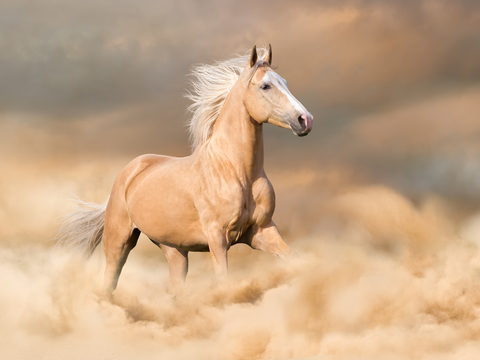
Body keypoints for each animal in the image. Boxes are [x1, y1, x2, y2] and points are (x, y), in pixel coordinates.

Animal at [58, 45, 314, 292]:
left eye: (285, 82)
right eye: (265, 86)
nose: (305, 120)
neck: (236, 171)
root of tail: (129, 171)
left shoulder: (262, 231)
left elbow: (296, 260)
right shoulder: (218, 237)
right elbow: (224, 281)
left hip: (174, 249)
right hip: (118, 242)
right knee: (109, 283)